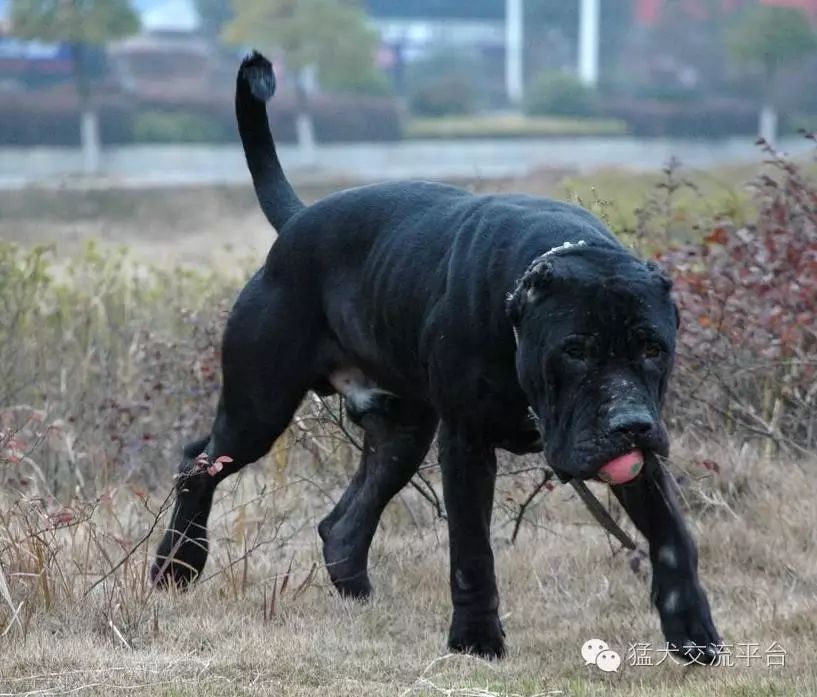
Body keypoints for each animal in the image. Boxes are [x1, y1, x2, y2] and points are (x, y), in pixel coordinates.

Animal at [151, 51, 712, 660]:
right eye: (575, 350)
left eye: (653, 348)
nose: (630, 424)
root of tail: (297, 222)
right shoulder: (466, 444)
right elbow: (471, 551)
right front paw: (476, 639)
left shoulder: (640, 455)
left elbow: (673, 536)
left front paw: (692, 628)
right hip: (259, 408)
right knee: (198, 464)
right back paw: (176, 566)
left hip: (402, 431)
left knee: (343, 523)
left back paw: (358, 596)